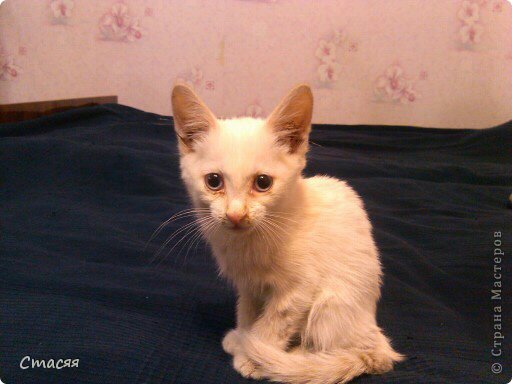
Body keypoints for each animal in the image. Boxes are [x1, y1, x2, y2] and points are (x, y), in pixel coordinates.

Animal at [172, 85, 404, 384]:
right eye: (213, 181)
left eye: (263, 182)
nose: (236, 215)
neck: (247, 246)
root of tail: (379, 342)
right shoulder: (249, 285)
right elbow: (246, 310)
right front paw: (242, 336)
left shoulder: (299, 290)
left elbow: (275, 323)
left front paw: (254, 355)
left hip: (331, 304)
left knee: (340, 348)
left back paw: (297, 360)